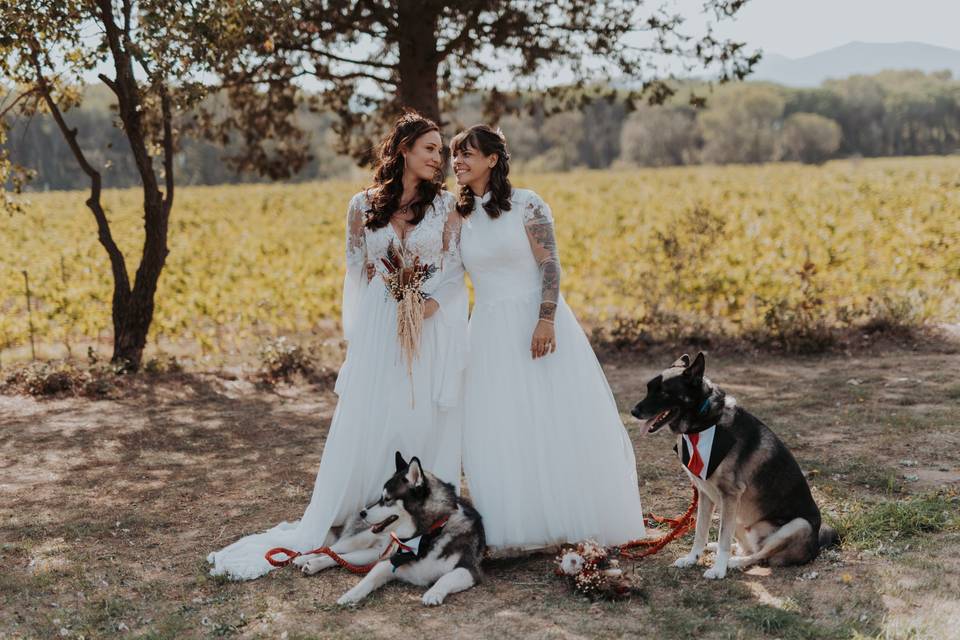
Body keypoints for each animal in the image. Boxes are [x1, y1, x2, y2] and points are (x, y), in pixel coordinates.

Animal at [632, 352, 832, 576]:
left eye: (664, 392)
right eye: (649, 388)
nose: (633, 411)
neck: (704, 422)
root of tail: (816, 546)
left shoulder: (729, 494)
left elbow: (723, 539)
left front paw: (718, 570)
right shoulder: (706, 494)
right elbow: (700, 531)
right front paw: (692, 558)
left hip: (798, 524)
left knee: (760, 555)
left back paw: (734, 563)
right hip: (735, 514)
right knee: (749, 548)